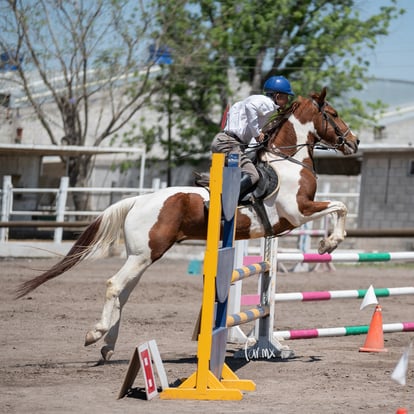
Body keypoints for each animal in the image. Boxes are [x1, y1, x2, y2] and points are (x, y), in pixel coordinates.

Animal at [16, 86, 360, 360]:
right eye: (333, 113)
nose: (355, 142)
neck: (286, 160)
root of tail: (138, 200)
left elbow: (338, 207)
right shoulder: (299, 211)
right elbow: (340, 206)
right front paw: (328, 243)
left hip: (142, 256)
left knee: (123, 294)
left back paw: (107, 346)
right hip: (145, 254)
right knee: (114, 285)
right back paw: (95, 334)